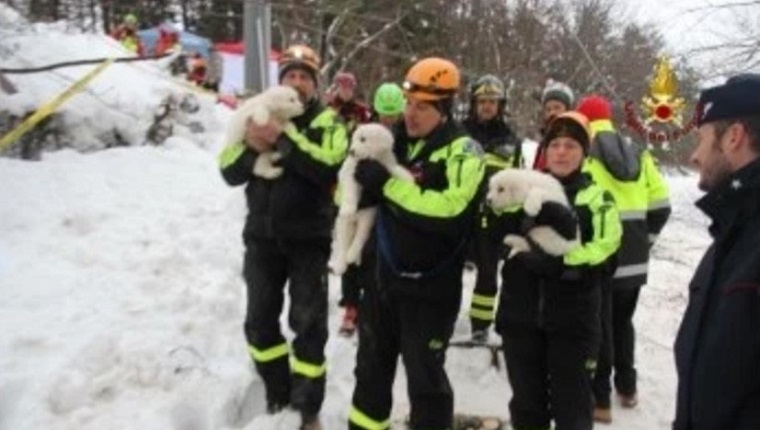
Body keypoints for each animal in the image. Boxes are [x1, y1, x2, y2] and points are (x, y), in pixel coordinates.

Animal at [330, 122, 416, 274]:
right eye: (353, 139)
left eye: (363, 139)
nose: (351, 151)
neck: (371, 159)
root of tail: (356, 221)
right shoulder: (351, 171)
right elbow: (350, 188)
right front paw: (348, 209)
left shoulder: (386, 165)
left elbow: (395, 170)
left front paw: (409, 179)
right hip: (343, 223)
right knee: (342, 243)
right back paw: (341, 264)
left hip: (368, 217)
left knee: (360, 237)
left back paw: (353, 256)